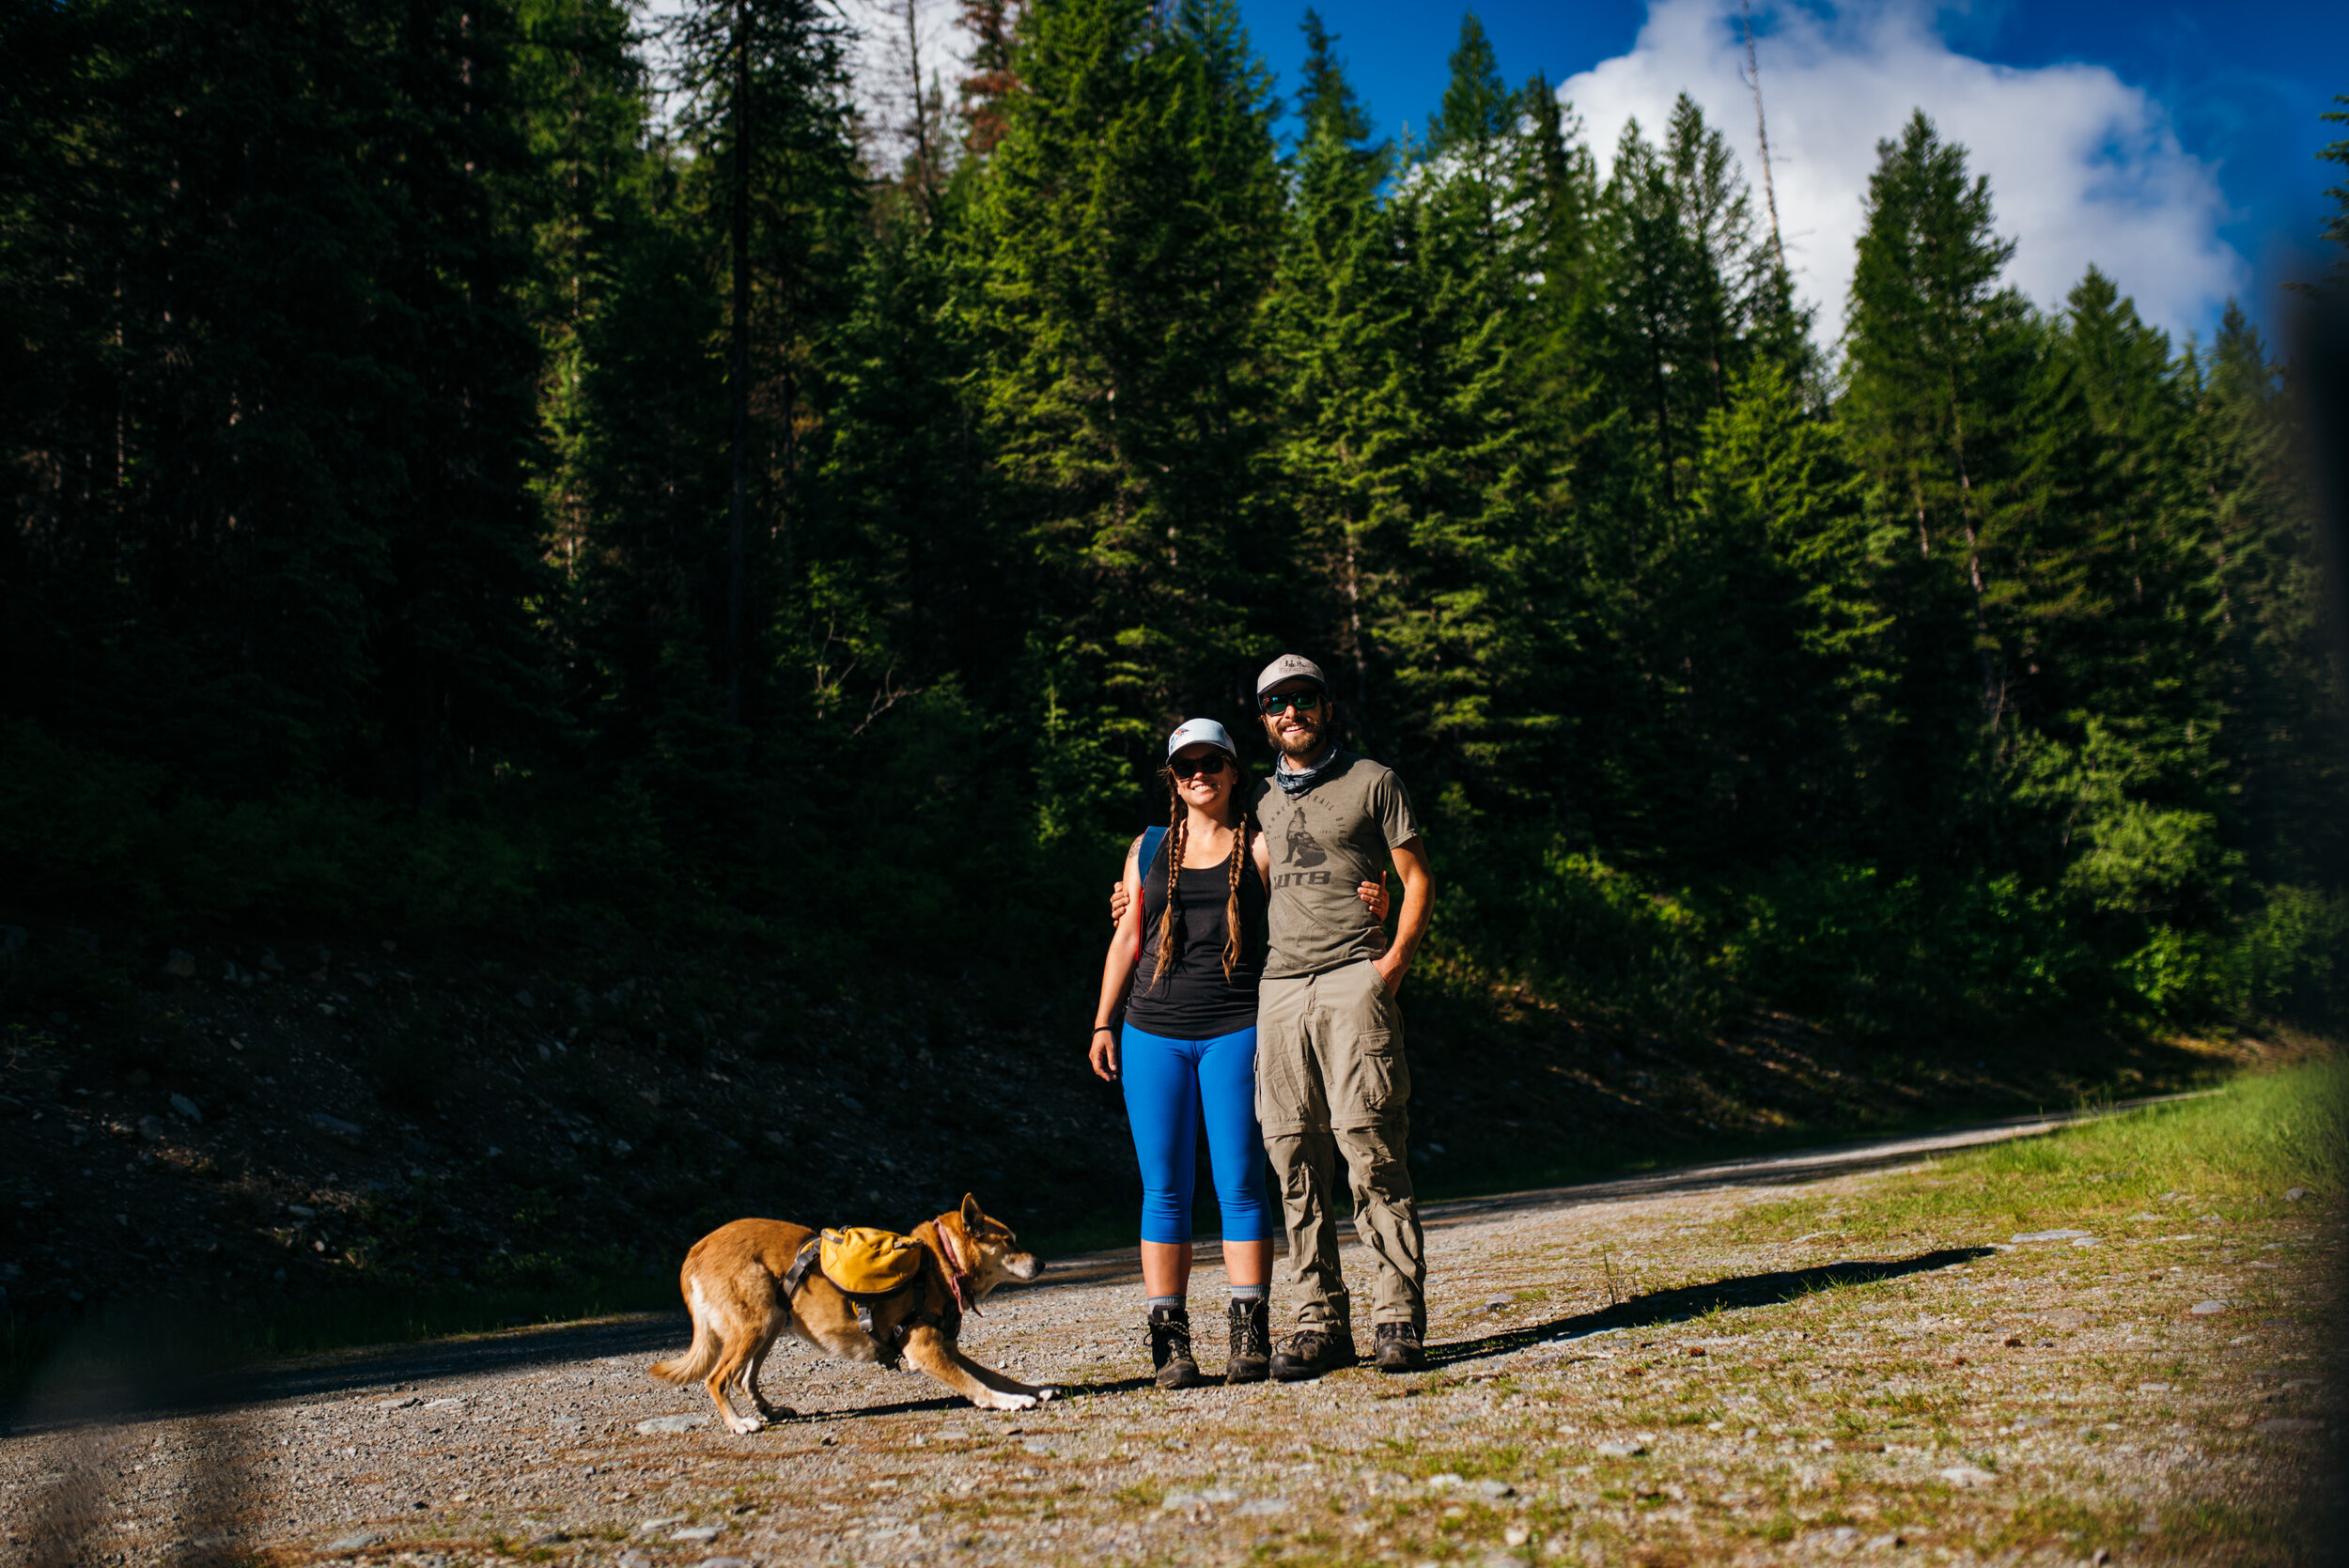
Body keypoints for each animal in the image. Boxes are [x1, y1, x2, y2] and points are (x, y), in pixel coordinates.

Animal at [644, 1192, 1048, 1427]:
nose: (1042, 1263)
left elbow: (996, 1376)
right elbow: (977, 1385)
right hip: (754, 1326)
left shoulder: (949, 1351)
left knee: (744, 1379)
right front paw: (1009, 1402)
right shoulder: (927, 1352)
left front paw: (1034, 1389)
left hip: (771, 1324)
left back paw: (770, 1411)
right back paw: (740, 1424)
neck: (939, 1263)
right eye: (1010, 1241)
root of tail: (696, 1251)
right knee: (717, 1379)